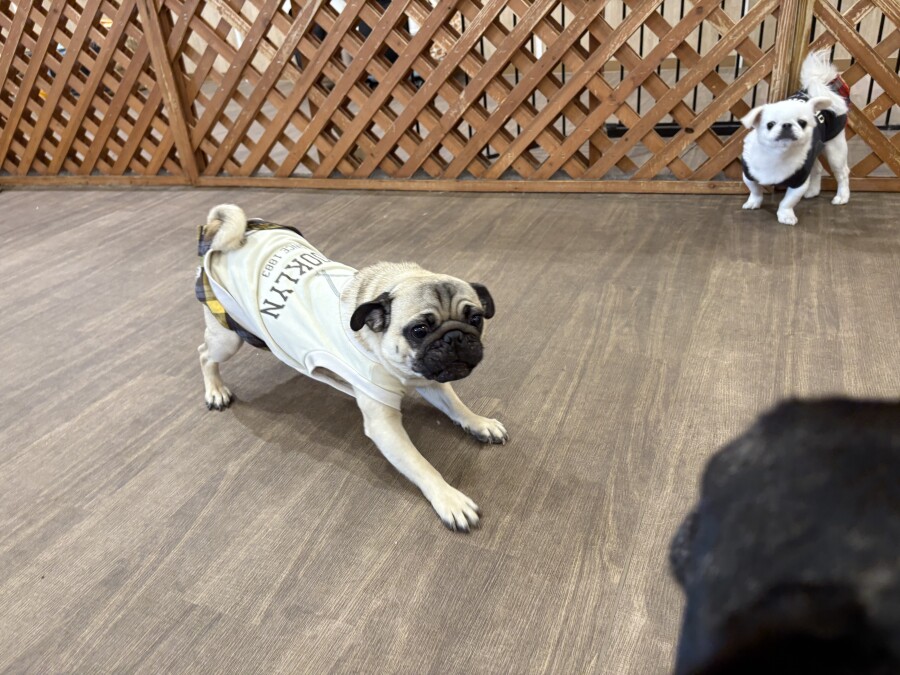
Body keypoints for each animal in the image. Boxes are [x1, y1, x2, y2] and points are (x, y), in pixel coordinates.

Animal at [195, 204, 507, 532]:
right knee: (205, 355)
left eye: (476, 319)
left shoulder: (431, 379)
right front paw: (448, 498)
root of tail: (230, 233)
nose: (455, 336)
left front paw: (479, 422)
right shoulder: (384, 425)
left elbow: (457, 405)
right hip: (228, 337)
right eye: (419, 330)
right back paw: (215, 391)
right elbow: (421, 464)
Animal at [740, 50, 851, 225]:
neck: (777, 156)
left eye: (802, 122)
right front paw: (753, 203)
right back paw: (813, 191)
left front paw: (786, 215)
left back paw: (842, 196)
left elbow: (787, 202)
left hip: (835, 149)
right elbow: (755, 190)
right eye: (770, 124)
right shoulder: (749, 175)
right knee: (818, 168)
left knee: (842, 173)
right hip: (815, 150)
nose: (786, 125)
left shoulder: (799, 182)